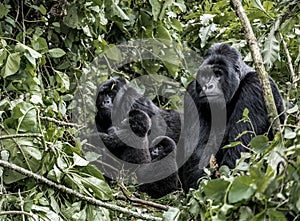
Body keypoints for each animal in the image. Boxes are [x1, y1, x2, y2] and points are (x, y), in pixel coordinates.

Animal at [180, 43, 286, 192]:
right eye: (206, 75)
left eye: (218, 74)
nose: (208, 86)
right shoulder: (192, 92)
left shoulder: (255, 86)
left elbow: (239, 152)